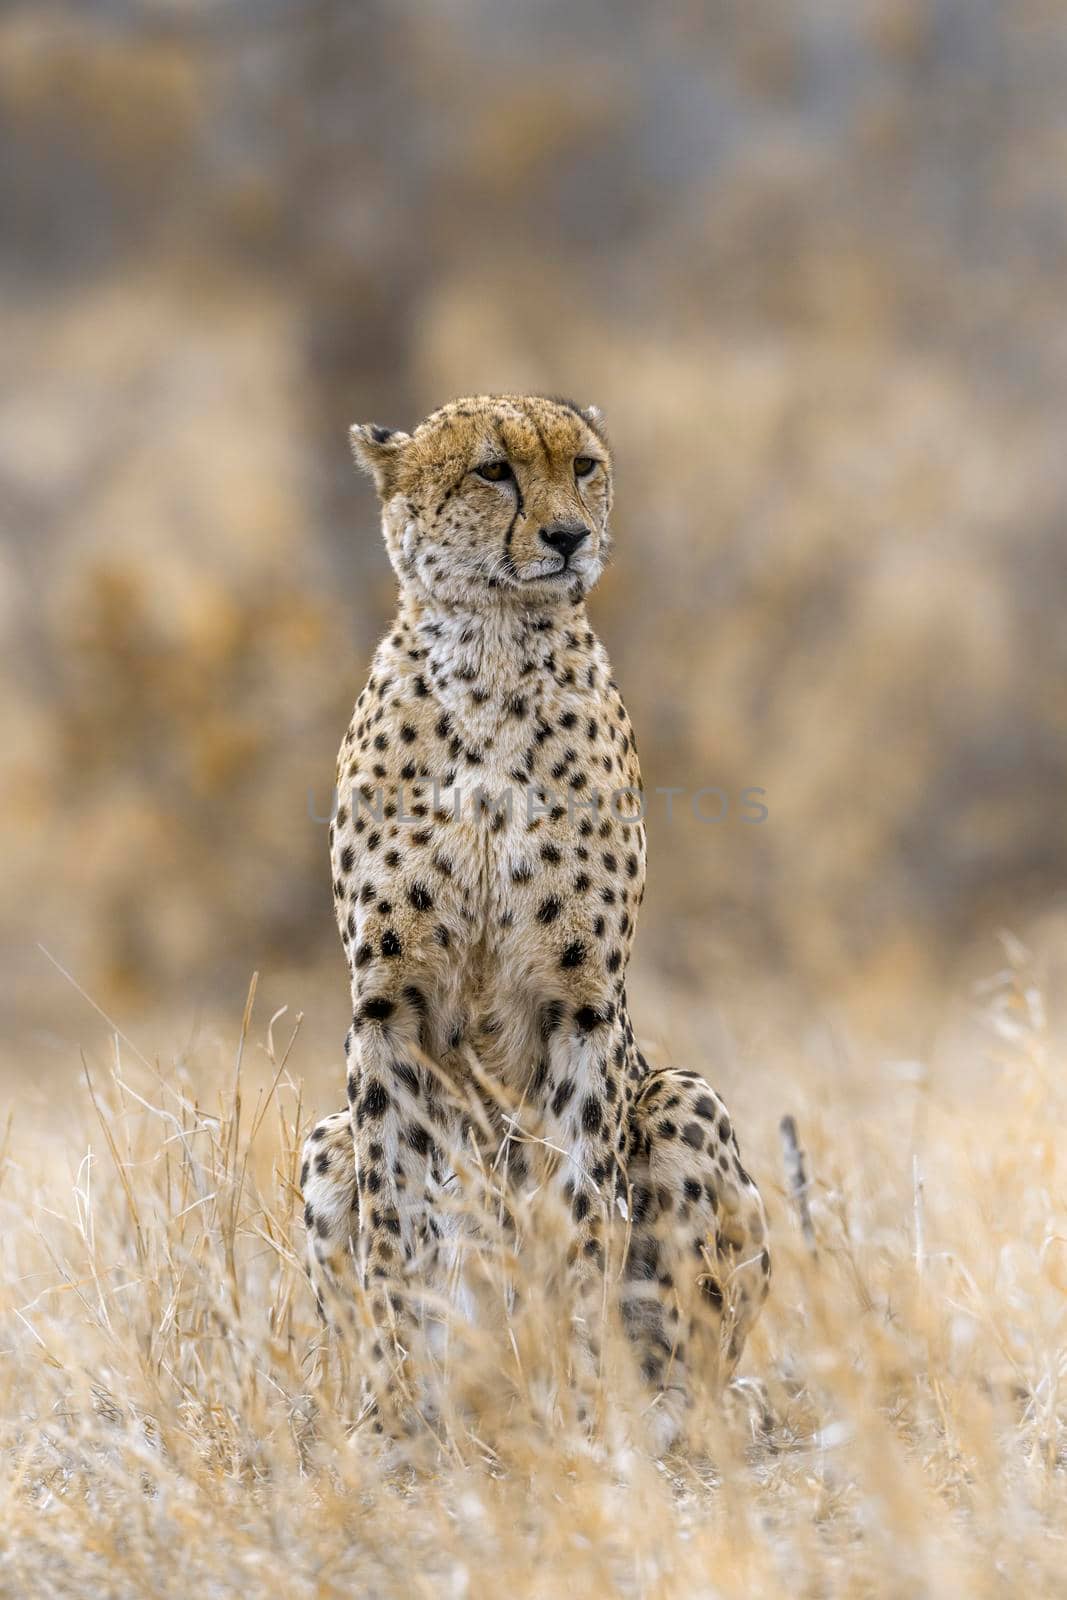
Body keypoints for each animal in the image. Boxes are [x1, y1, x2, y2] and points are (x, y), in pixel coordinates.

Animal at [300, 393, 767, 1446]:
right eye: (492, 471)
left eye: (584, 466)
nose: (568, 537)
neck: (494, 652)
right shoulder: (385, 1007)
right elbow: (396, 1231)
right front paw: (392, 1418)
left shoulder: (580, 1004)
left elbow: (580, 1215)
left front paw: (582, 1408)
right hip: (322, 1137)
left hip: (681, 1096)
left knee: (697, 1354)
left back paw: (663, 1414)